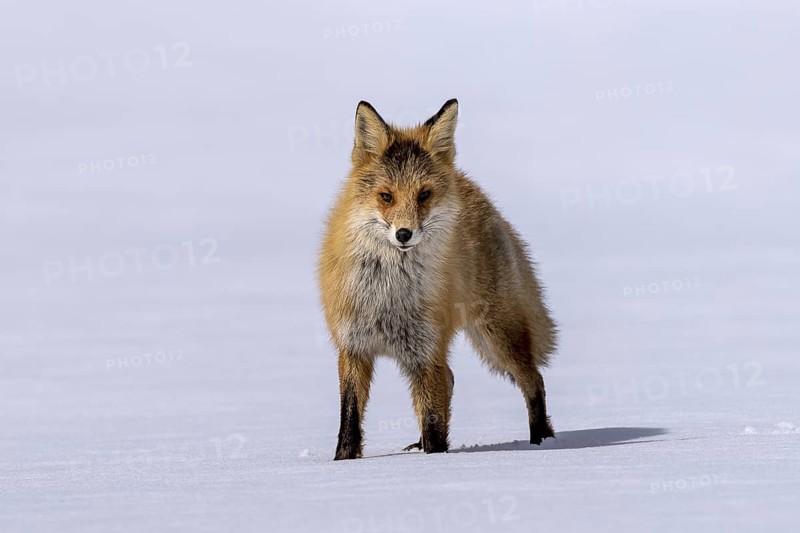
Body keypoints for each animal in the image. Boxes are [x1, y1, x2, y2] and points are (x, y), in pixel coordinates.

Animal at [318, 99, 557, 460]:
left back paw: (543, 441)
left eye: (424, 195)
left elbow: (432, 416)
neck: (390, 295)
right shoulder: (353, 346)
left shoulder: (428, 348)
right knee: (453, 378)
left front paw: (434, 461)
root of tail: (473, 189)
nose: (404, 234)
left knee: (535, 380)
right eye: (386, 196)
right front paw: (342, 462)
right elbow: (350, 416)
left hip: (498, 337)